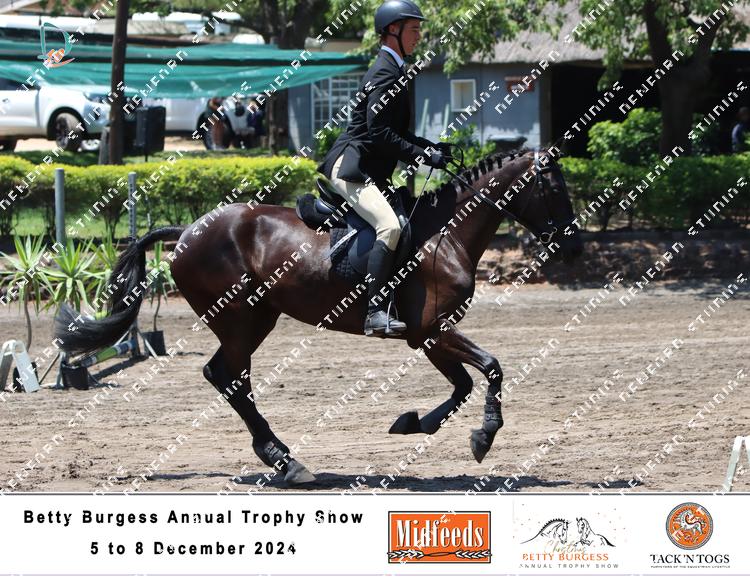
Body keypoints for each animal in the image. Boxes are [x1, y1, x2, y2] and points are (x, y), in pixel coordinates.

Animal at [55, 148, 583, 485]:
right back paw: (286, 462)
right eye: (554, 188)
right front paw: (484, 437)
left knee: (227, 375)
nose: (574, 244)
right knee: (228, 377)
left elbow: (463, 384)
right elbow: (490, 368)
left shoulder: (427, 336)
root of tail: (187, 230)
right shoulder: (433, 330)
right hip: (239, 318)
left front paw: (413, 423)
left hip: (257, 319)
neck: (445, 235)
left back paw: (283, 459)